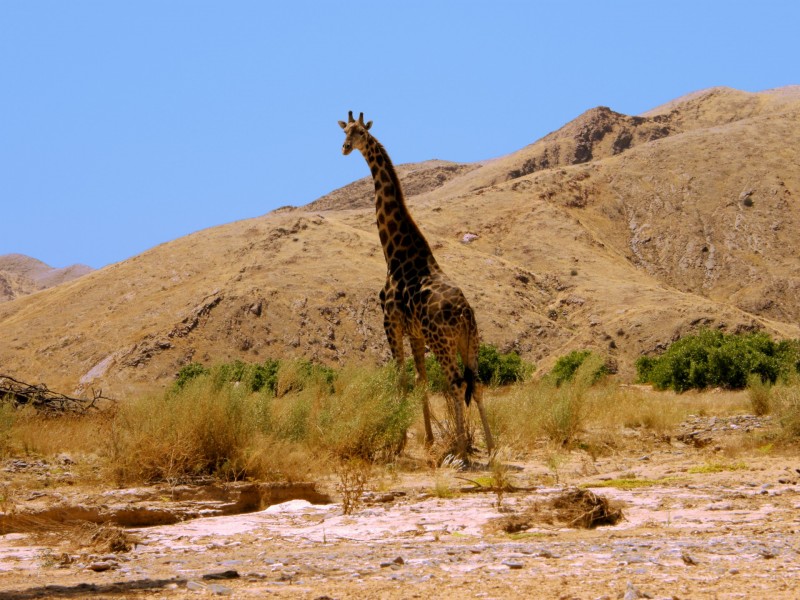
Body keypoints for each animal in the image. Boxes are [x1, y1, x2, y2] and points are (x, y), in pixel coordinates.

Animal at [338, 111, 494, 460]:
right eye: (345, 131)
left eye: (359, 133)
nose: (344, 148)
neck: (395, 252)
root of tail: (464, 314)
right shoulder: (415, 333)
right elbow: (421, 380)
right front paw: (428, 440)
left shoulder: (391, 322)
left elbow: (402, 380)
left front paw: (398, 442)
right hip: (470, 341)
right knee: (476, 383)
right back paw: (491, 447)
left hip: (443, 341)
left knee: (455, 383)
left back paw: (462, 451)